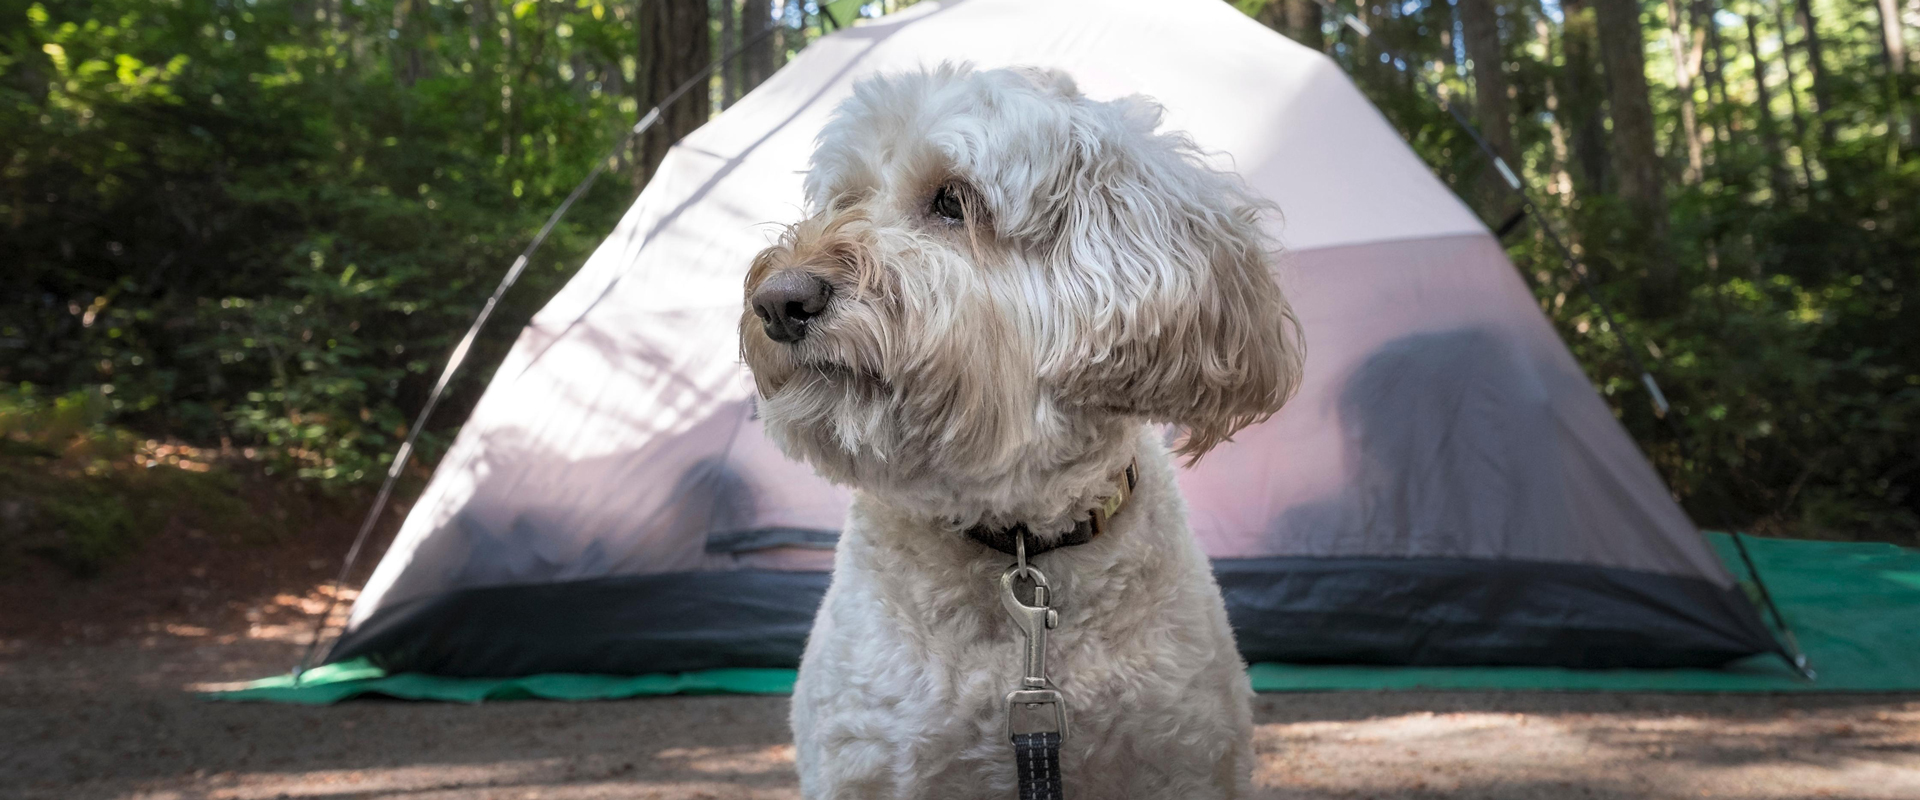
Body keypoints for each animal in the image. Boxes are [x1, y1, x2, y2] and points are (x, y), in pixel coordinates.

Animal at [737, 63, 1305, 798]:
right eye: (842, 199)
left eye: (953, 200)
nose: (778, 301)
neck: (1017, 545)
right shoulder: (871, 765)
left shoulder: (1186, 762)